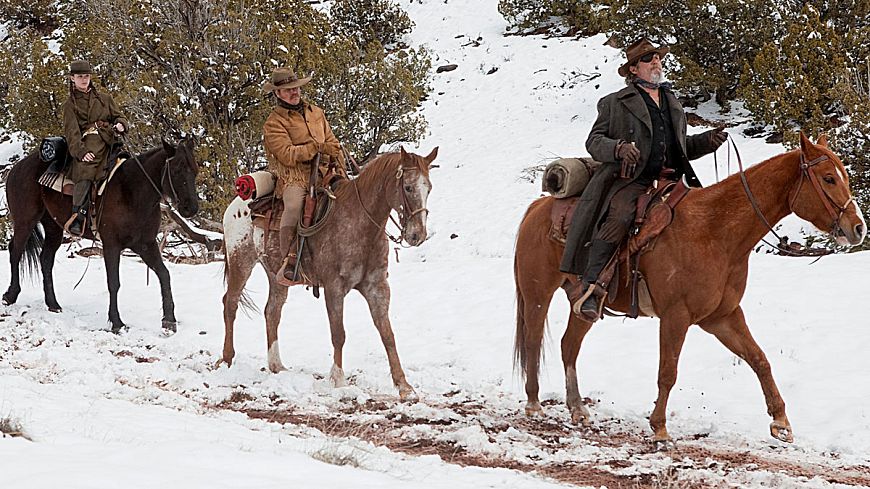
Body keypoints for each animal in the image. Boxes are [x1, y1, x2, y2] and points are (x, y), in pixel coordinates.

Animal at [2, 139, 199, 334]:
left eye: (195, 170)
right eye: (176, 170)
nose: (191, 208)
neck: (132, 191)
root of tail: (18, 167)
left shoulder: (146, 245)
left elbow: (164, 275)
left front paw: (169, 321)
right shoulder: (111, 245)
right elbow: (114, 282)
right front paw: (117, 322)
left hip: (53, 228)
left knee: (45, 260)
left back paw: (53, 304)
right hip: (25, 221)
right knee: (15, 252)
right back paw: (10, 295)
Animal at [221, 147, 440, 398]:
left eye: (429, 188)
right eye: (408, 187)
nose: (417, 235)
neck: (359, 222)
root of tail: (237, 204)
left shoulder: (377, 287)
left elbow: (387, 334)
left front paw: (404, 386)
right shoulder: (334, 288)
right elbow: (339, 333)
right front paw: (338, 379)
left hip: (276, 275)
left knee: (272, 311)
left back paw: (276, 365)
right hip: (241, 260)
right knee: (231, 303)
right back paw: (226, 359)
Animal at [516, 133, 864, 446]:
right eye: (829, 178)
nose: (858, 228)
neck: (714, 231)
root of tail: (537, 207)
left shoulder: (722, 316)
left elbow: (759, 359)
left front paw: (781, 422)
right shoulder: (676, 316)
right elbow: (668, 371)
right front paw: (659, 428)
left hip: (583, 303)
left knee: (568, 346)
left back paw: (578, 410)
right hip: (537, 294)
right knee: (533, 340)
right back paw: (533, 404)